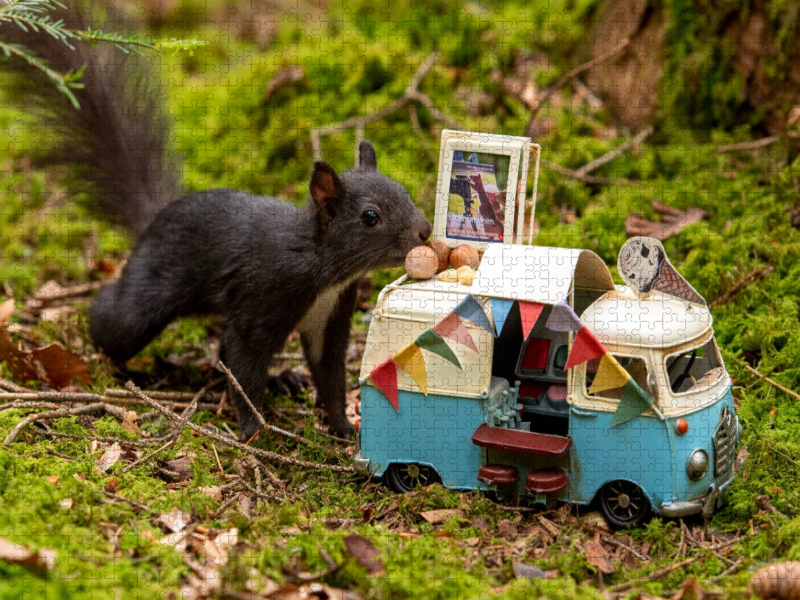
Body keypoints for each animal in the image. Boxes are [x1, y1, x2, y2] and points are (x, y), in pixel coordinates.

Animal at [0, 5, 432, 440]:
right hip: (146, 298)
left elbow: (327, 374)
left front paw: (342, 426)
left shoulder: (331, 314)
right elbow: (243, 360)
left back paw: (283, 380)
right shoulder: (265, 293)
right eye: (370, 217)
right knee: (116, 320)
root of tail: (156, 218)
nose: (425, 231)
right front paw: (253, 430)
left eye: (405, 191)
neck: (322, 266)